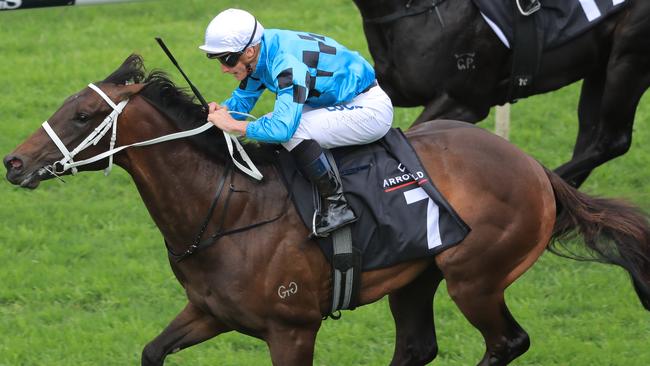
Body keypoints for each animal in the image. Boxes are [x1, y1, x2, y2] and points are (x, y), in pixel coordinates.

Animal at [3, 55, 648, 366]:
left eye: (84, 114)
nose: (13, 162)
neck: (228, 210)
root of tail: (536, 169)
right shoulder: (210, 312)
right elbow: (151, 352)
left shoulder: (291, 331)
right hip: (417, 277)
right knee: (417, 347)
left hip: (476, 277)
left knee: (506, 343)